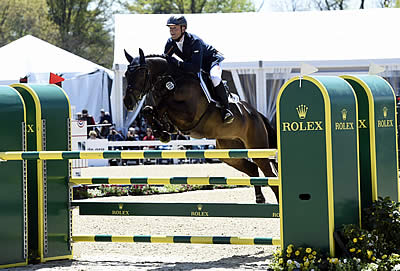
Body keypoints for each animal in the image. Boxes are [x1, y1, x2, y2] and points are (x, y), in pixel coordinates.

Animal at [123, 49, 276, 204]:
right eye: (126, 74)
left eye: (141, 74)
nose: (128, 102)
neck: (173, 81)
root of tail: (257, 114)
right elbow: (148, 110)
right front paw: (162, 132)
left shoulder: (189, 115)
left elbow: (164, 104)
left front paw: (163, 132)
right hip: (229, 151)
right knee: (252, 168)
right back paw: (260, 198)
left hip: (256, 147)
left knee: (269, 173)